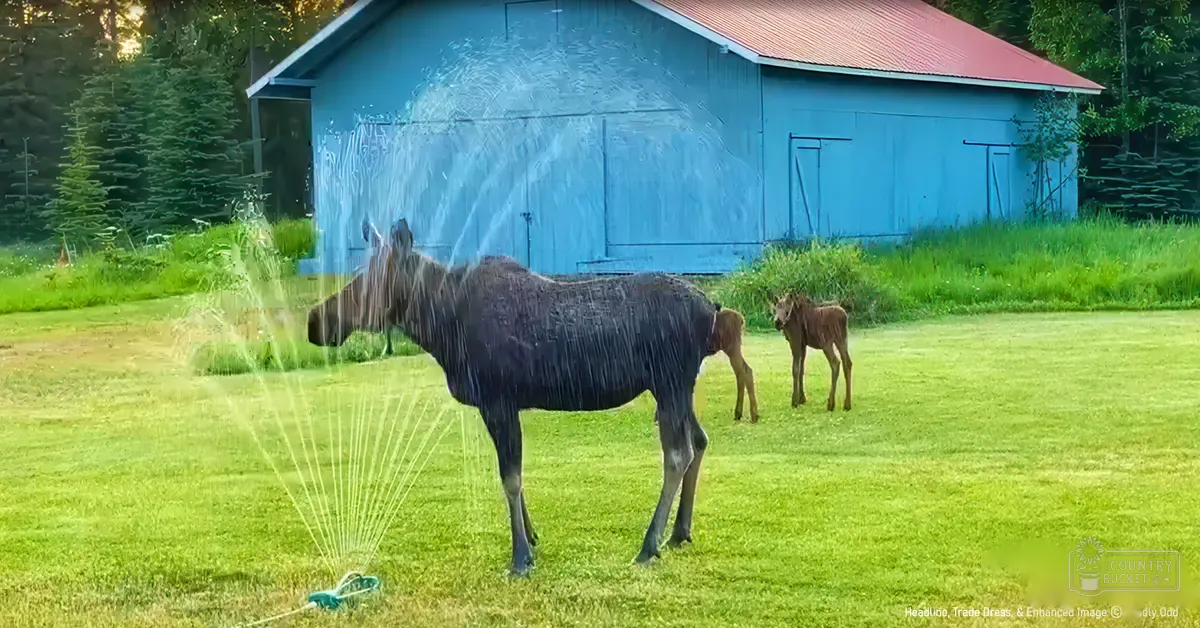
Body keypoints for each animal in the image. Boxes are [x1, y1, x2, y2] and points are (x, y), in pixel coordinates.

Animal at [308, 217, 722, 576]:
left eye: (372, 278)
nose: (316, 321)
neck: (441, 327)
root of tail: (712, 308)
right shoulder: (503, 405)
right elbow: (513, 475)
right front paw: (533, 538)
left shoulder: (498, 400)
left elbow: (510, 478)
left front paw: (520, 557)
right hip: (678, 386)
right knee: (700, 440)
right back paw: (679, 532)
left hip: (669, 382)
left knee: (678, 453)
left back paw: (649, 545)